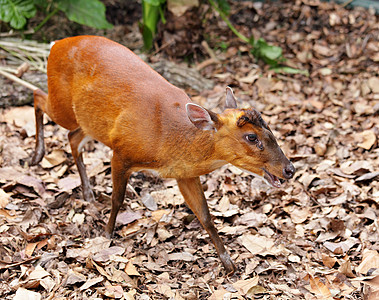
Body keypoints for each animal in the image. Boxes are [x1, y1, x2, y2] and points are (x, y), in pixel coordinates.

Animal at [4, 35, 298, 274]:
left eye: (270, 129)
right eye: (252, 137)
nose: (289, 169)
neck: (168, 140)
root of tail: (57, 44)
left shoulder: (184, 174)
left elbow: (205, 216)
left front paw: (229, 263)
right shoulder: (122, 152)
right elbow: (118, 200)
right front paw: (107, 234)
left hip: (86, 121)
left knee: (72, 136)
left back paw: (87, 191)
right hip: (63, 104)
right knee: (37, 96)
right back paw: (37, 155)